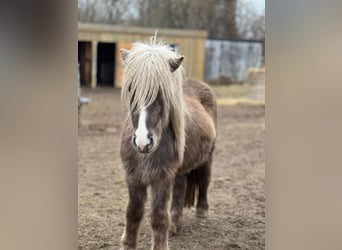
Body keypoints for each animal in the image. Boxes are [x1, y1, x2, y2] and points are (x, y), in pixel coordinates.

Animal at [119, 39, 216, 250]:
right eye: (130, 89)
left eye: (161, 93)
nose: (143, 142)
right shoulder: (133, 176)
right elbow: (133, 212)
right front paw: (128, 244)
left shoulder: (161, 178)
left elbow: (158, 217)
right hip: (180, 170)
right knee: (179, 191)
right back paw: (175, 226)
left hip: (207, 158)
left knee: (204, 179)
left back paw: (202, 211)